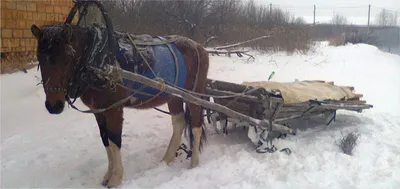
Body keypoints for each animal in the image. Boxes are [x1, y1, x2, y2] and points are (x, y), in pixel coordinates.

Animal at [30, 22, 211, 188]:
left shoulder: (114, 109)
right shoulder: (98, 110)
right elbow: (105, 140)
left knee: (196, 126)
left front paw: (116, 178)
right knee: (179, 123)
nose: (54, 106)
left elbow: (114, 141)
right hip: (174, 96)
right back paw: (167, 159)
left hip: (194, 95)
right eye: (39, 57)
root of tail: (199, 47)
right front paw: (108, 175)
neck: (98, 61)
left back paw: (194, 162)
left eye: (67, 58)